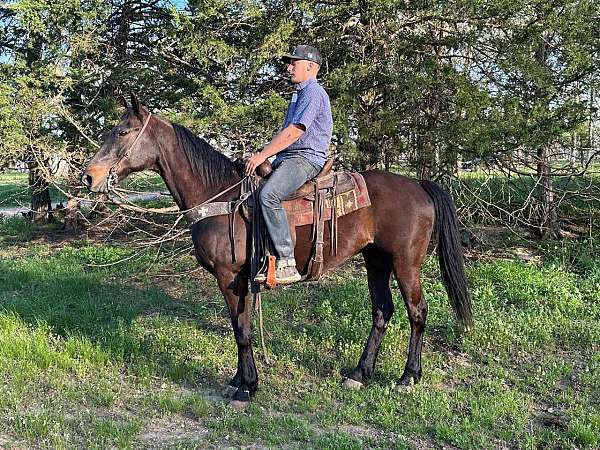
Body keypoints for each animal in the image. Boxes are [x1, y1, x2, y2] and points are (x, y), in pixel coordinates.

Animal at [82, 94, 474, 408]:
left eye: (122, 132)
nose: (89, 176)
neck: (221, 197)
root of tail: (419, 185)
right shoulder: (240, 280)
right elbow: (239, 326)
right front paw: (239, 381)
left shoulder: (230, 277)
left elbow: (242, 331)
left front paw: (247, 388)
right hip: (375, 260)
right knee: (382, 312)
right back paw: (359, 374)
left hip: (406, 263)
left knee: (417, 312)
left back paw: (408, 377)